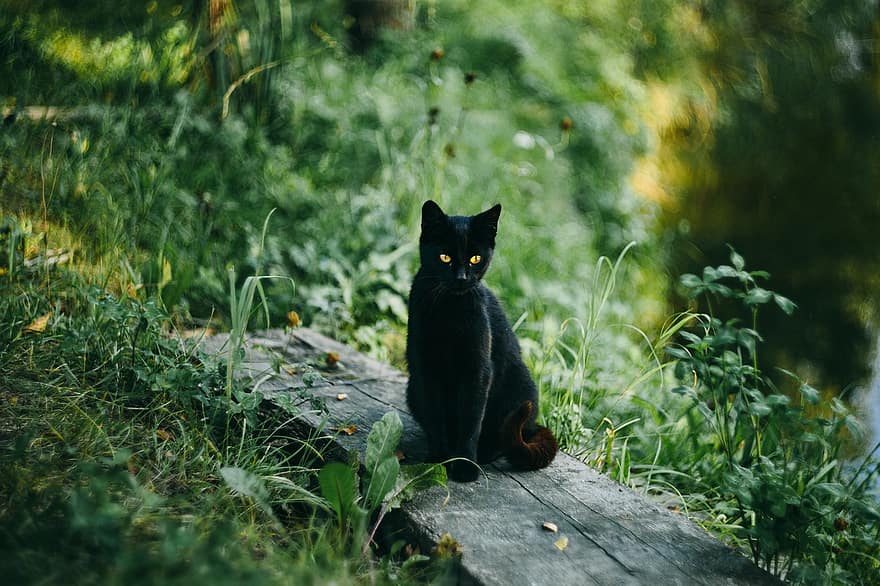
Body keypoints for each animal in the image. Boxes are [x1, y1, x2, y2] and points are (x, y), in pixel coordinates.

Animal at [406, 200, 556, 480]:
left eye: (475, 258)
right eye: (445, 257)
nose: (462, 278)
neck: (449, 311)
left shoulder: (478, 370)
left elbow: (471, 421)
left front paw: (464, 466)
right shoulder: (426, 369)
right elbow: (436, 418)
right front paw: (437, 460)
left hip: (519, 389)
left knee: (504, 437)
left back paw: (484, 454)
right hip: (412, 389)